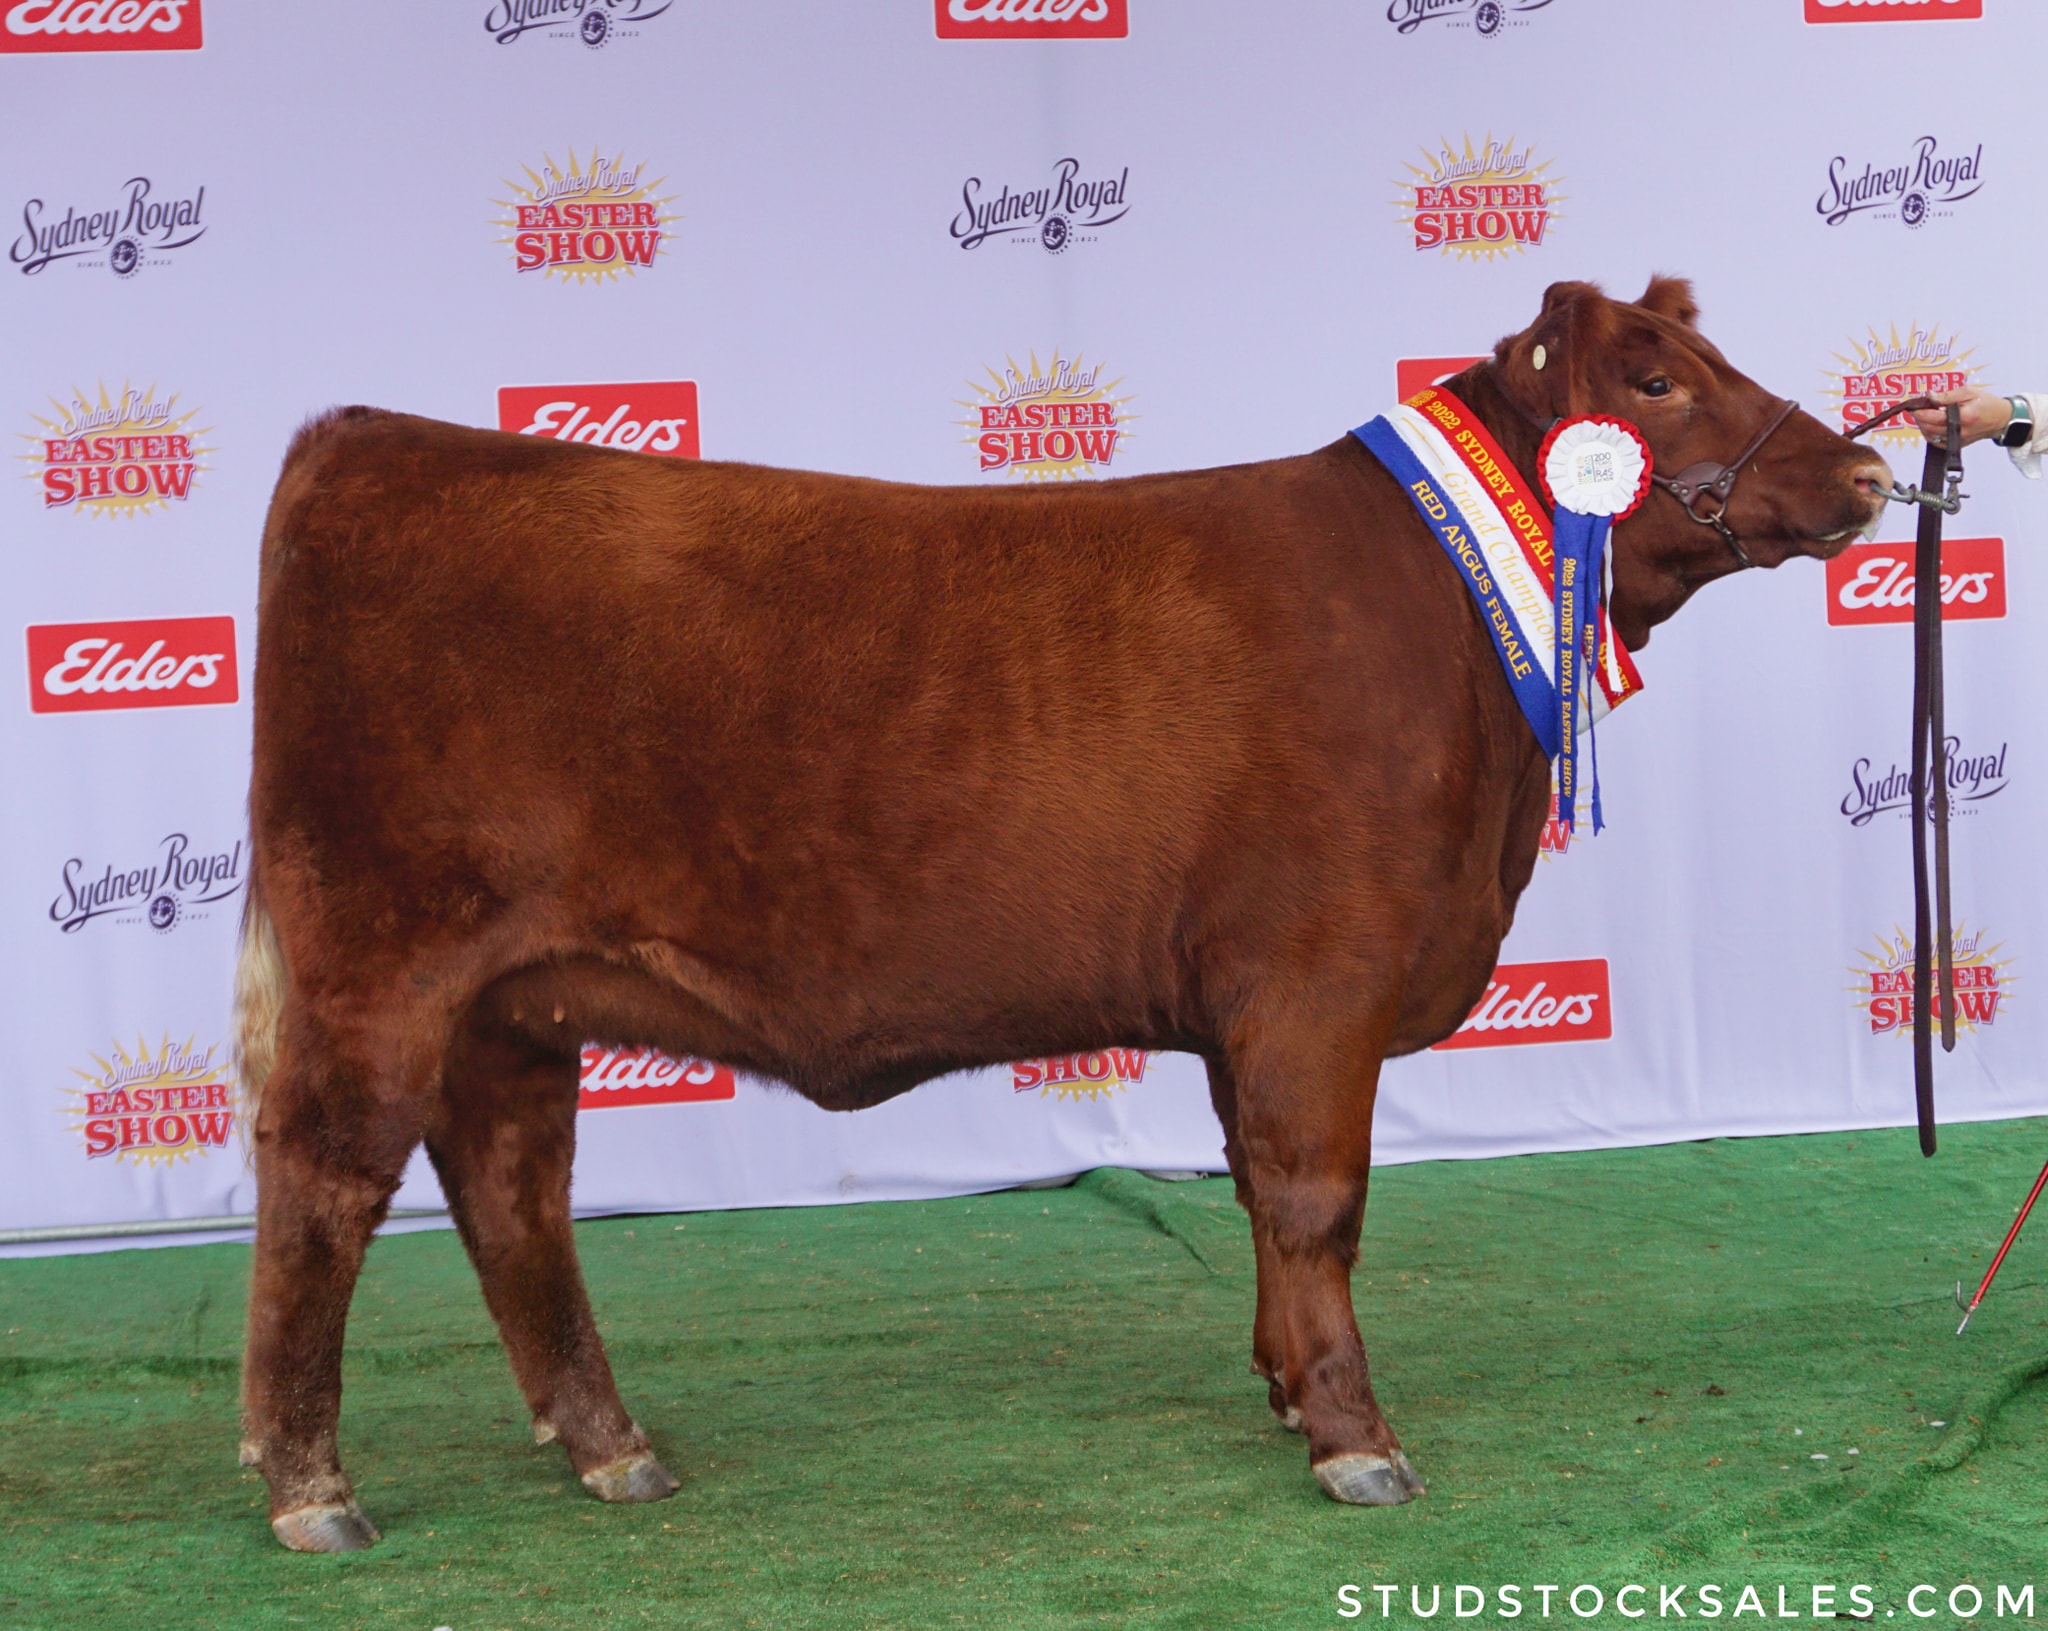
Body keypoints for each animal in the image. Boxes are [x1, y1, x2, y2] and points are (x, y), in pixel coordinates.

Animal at [234, 278, 1892, 1550]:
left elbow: (1256, 1190)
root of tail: (367, 440)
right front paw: (1355, 1433)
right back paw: (314, 1485)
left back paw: (606, 1443)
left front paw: (1283, 1385)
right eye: (1659, 379)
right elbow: (1317, 1195)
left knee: (511, 1191)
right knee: (327, 1179)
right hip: (385, 958)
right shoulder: (1316, 976)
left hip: (515, 996)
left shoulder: (1242, 1003)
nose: (1872, 475)